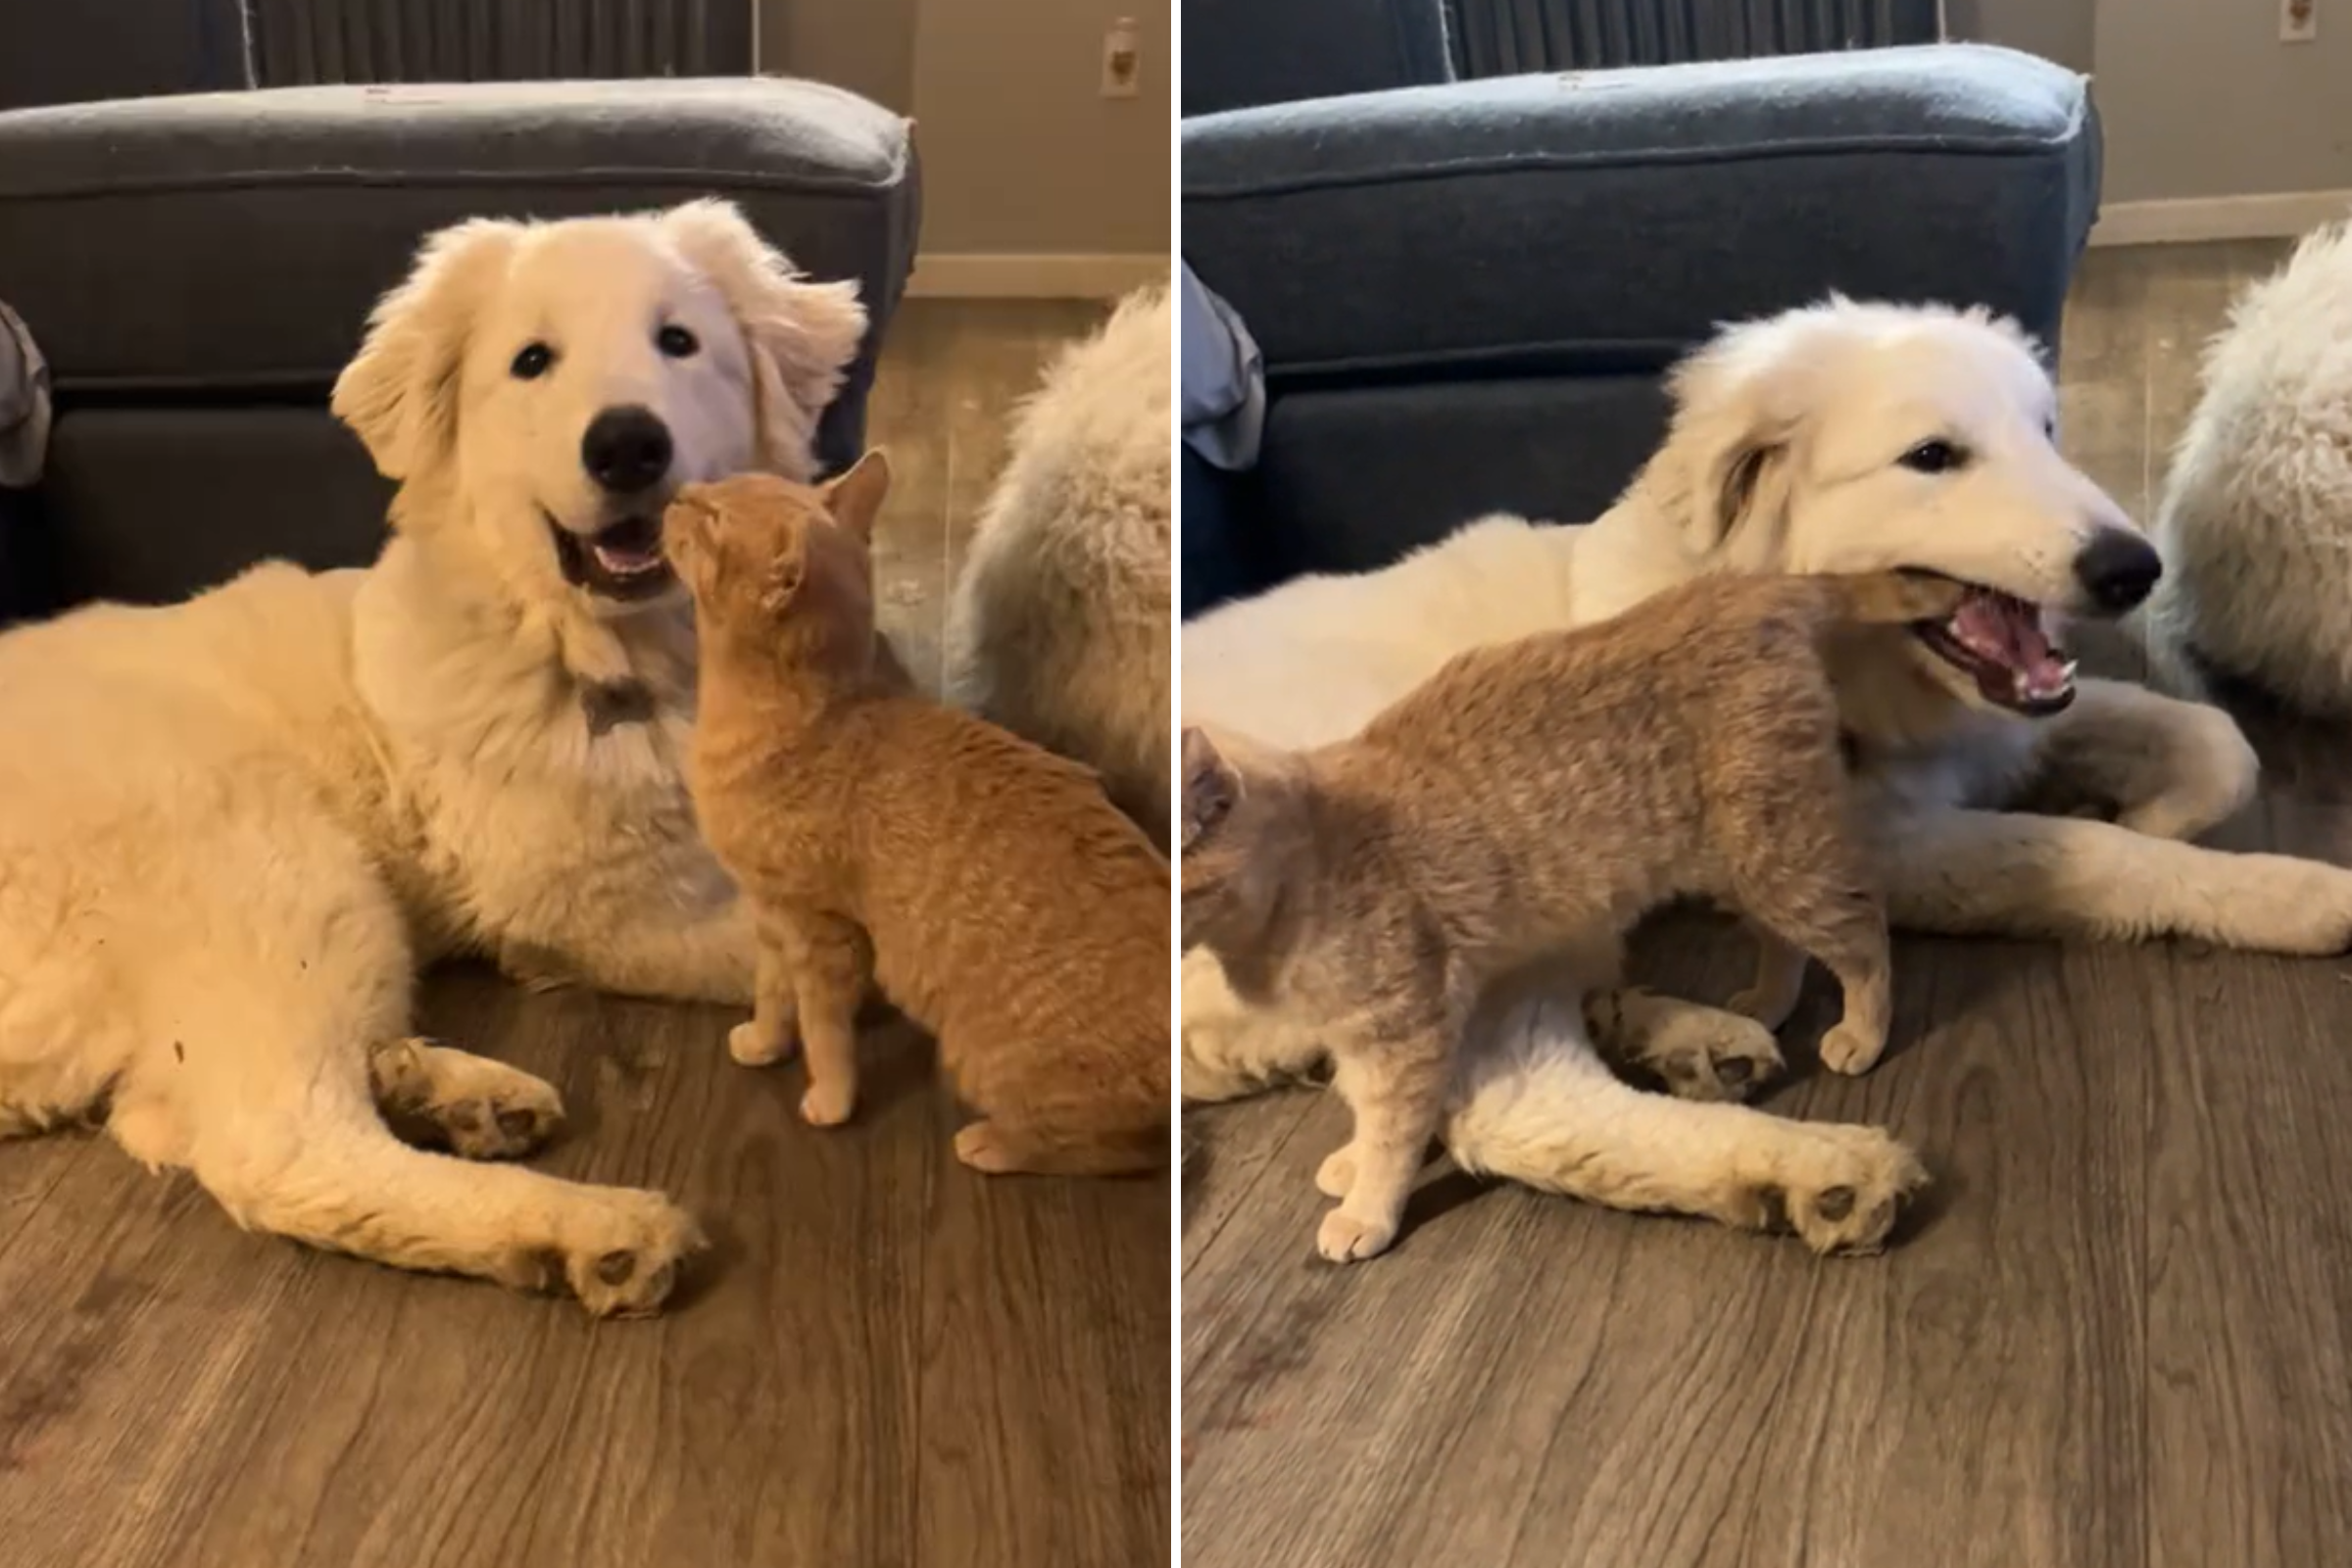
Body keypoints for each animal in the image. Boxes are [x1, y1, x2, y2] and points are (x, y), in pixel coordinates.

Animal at [0, 202, 870, 1316]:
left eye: (679, 341)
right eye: (533, 361)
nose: (628, 444)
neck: (589, 654)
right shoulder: (596, 916)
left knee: (172, 1116)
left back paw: (453, 1094)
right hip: (270, 864)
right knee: (279, 1147)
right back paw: (590, 1230)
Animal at [667, 461, 1171, 1170]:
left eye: (713, 517)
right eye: (713, 492)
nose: (677, 493)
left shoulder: (823, 934)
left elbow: (824, 1031)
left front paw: (829, 1101)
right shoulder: (773, 916)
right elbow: (771, 994)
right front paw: (764, 1041)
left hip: (977, 1061)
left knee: (1110, 1149)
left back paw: (989, 1143)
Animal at [1195, 293, 2352, 1250]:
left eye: (2047, 432)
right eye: (1933, 456)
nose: (2133, 568)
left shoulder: (1981, 741)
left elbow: (2212, 738)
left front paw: (2166, 805)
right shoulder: (1882, 839)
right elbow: (2096, 857)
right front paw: (2287, 889)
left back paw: (1699, 1042)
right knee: (1516, 1107)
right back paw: (1815, 1173)